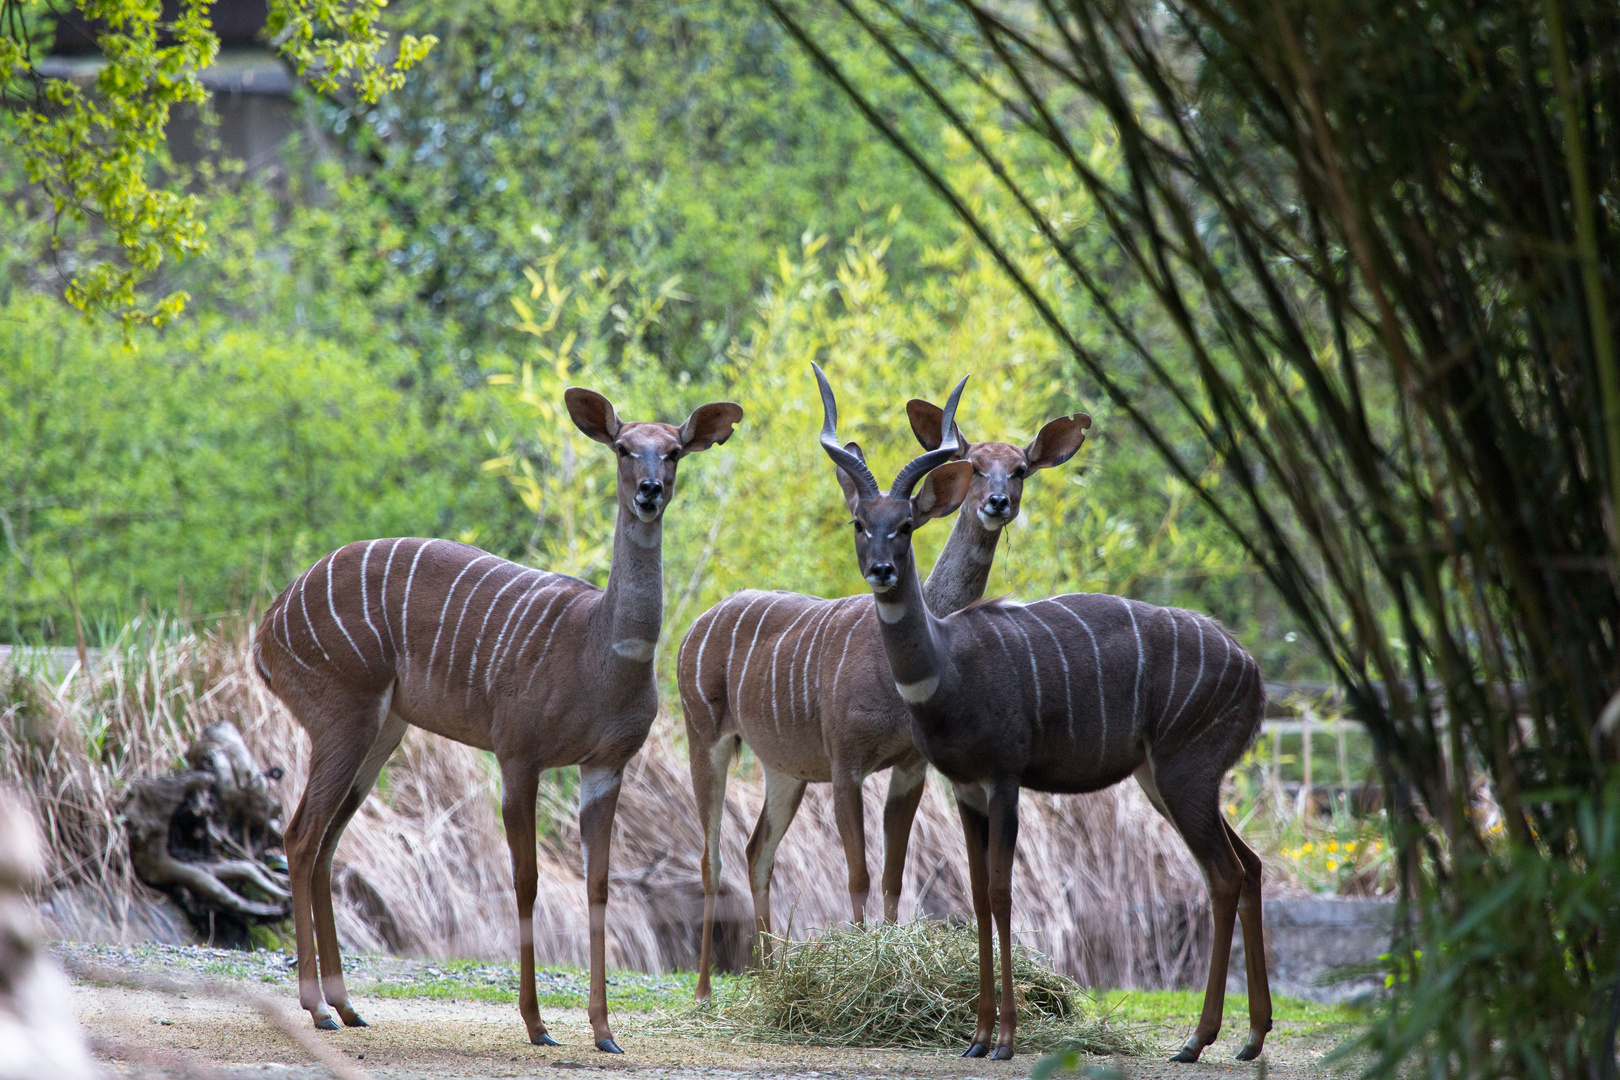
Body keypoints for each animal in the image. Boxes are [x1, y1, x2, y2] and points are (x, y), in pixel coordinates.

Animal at [255, 388, 741, 1055]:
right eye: (622, 446)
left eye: (673, 451)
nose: (648, 491)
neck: (601, 657)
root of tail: (265, 639)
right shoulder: (518, 752)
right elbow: (527, 878)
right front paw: (538, 1025)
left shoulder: (605, 764)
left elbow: (598, 885)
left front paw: (605, 1032)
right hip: (341, 714)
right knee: (302, 835)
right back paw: (319, 1010)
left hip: (382, 732)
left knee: (327, 842)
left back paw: (348, 1007)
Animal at [677, 393, 1082, 1003]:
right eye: (860, 523)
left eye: (1019, 469)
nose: (996, 503)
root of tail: (693, 630)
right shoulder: (845, 762)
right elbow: (858, 871)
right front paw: (858, 966)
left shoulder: (910, 765)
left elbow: (893, 872)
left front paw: (888, 960)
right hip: (707, 735)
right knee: (711, 854)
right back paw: (705, 990)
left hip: (783, 767)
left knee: (756, 851)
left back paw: (772, 980)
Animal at [816, 367, 1270, 1062]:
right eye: (860, 524)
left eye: (907, 525)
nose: (883, 571)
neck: (947, 669)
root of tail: (1254, 673)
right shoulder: (964, 788)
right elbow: (978, 896)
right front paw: (976, 1039)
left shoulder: (1005, 778)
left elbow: (1002, 894)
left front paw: (1005, 1040)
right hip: (1166, 778)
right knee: (1249, 866)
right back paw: (1249, 1038)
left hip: (1187, 772)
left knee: (1222, 874)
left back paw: (1197, 1041)